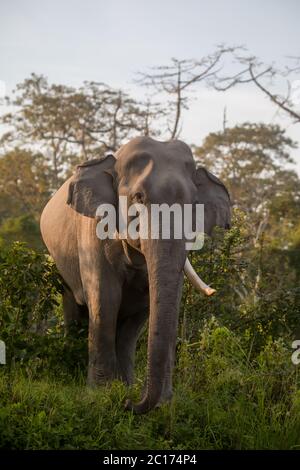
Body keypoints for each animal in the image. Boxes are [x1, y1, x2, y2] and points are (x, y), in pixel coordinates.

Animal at [39, 137, 231, 414]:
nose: (130, 404)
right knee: (74, 309)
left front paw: (157, 401)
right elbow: (105, 298)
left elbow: (149, 305)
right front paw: (101, 394)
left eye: (193, 204)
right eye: (138, 198)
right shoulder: (92, 231)